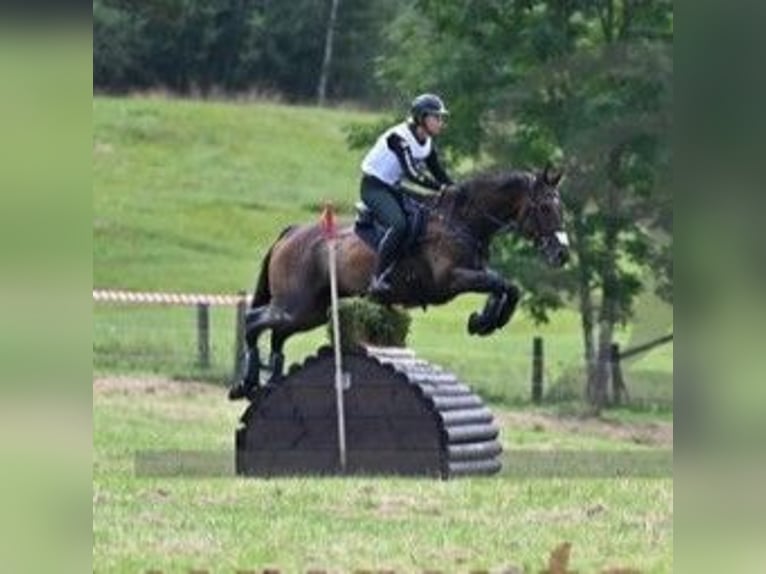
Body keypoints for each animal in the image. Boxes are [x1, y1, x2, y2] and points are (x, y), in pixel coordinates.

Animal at [228, 165, 568, 400]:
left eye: (560, 207)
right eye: (545, 208)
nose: (562, 253)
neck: (461, 221)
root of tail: (290, 233)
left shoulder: (472, 275)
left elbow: (506, 286)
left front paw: (483, 321)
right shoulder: (452, 280)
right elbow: (502, 283)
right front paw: (484, 321)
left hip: (309, 311)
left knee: (277, 333)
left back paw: (269, 381)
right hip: (294, 305)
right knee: (254, 321)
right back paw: (246, 382)